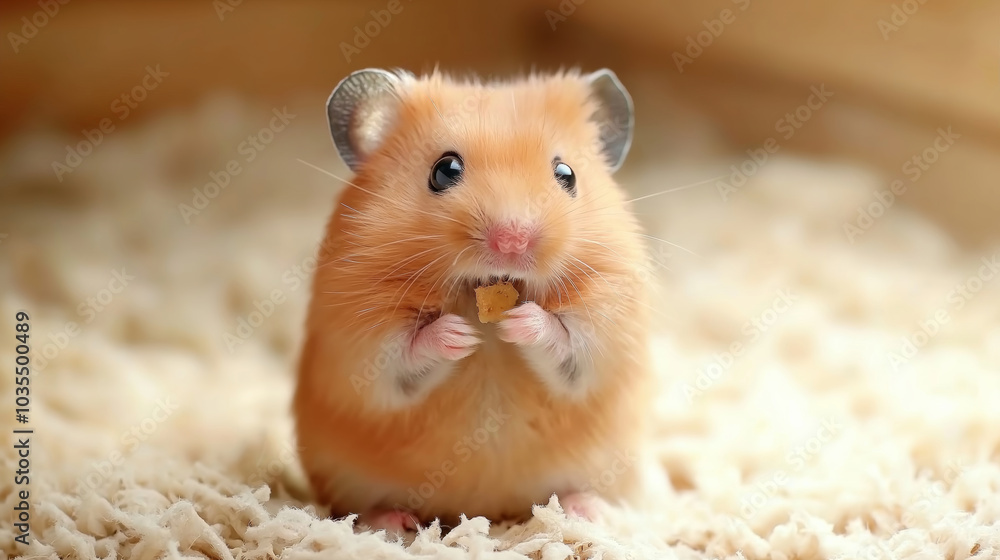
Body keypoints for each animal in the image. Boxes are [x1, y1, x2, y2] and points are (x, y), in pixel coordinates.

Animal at [293, 67, 656, 532]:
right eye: (444, 171)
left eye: (567, 174)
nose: (512, 240)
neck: (477, 290)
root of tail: (488, 509)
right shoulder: (361, 338)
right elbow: (403, 355)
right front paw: (461, 334)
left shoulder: (606, 322)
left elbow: (569, 343)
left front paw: (518, 322)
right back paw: (393, 521)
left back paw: (584, 509)